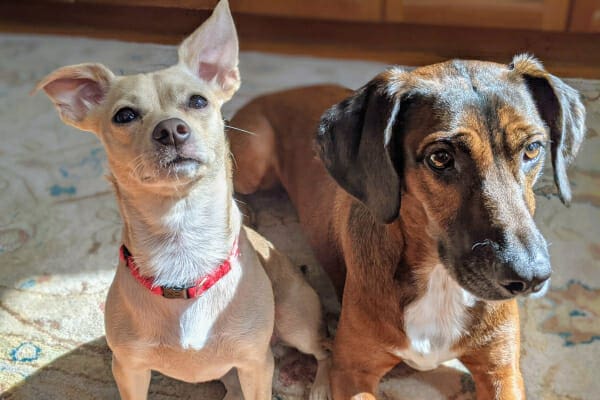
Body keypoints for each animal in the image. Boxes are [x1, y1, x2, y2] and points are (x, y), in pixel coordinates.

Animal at [36, 1, 332, 398]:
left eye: (198, 101)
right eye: (124, 115)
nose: (171, 130)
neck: (183, 243)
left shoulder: (256, 364)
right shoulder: (129, 370)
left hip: (296, 322)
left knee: (325, 349)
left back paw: (321, 385)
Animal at [227, 54, 584, 398]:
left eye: (533, 148)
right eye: (440, 157)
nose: (531, 278)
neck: (438, 280)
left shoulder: (501, 370)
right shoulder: (351, 370)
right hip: (254, 159)